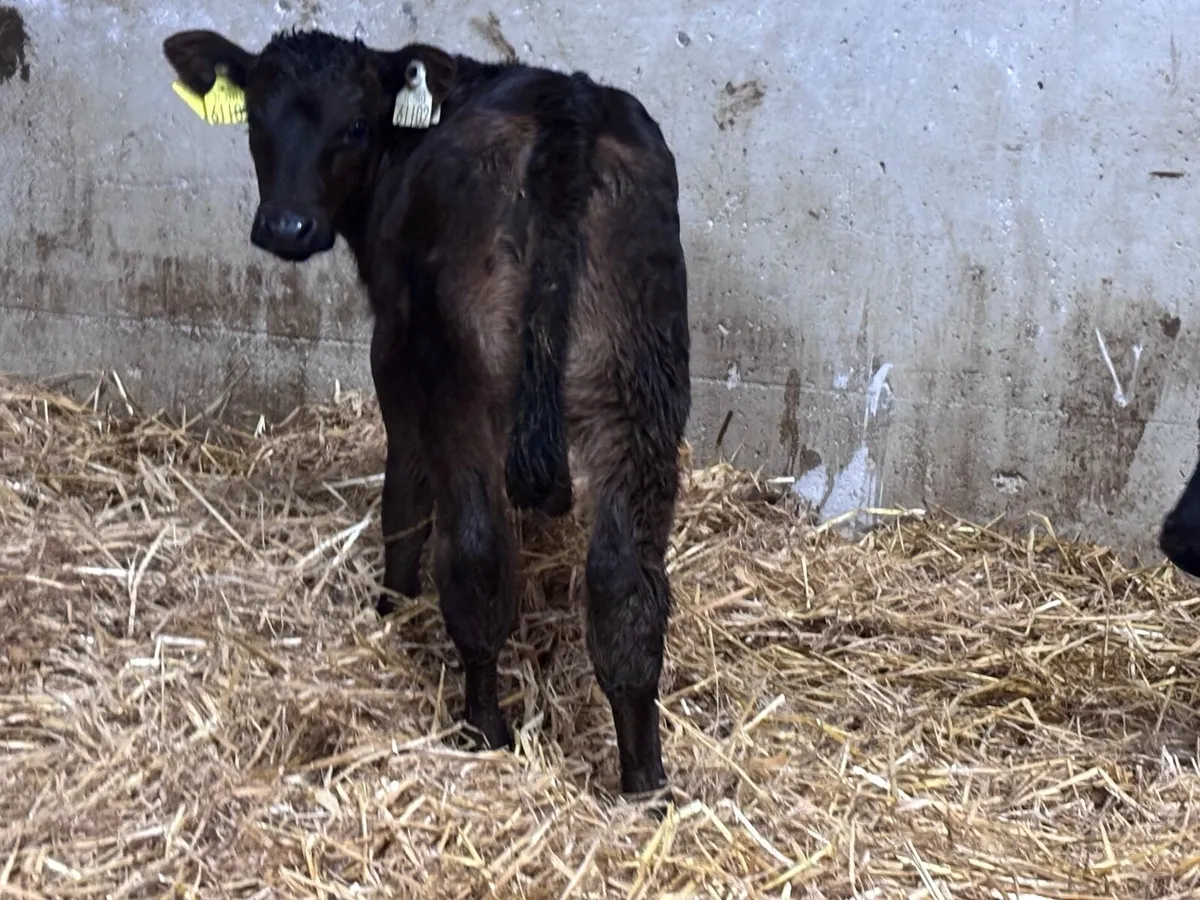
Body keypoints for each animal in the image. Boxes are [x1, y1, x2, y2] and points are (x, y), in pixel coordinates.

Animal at [161, 26, 692, 800]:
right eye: (255, 120)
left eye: (354, 127)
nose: (286, 227)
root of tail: (569, 109)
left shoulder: (393, 347)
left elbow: (403, 499)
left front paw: (392, 604)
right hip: (643, 381)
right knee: (626, 586)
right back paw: (644, 783)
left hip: (459, 376)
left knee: (475, 553)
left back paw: (484, 730)